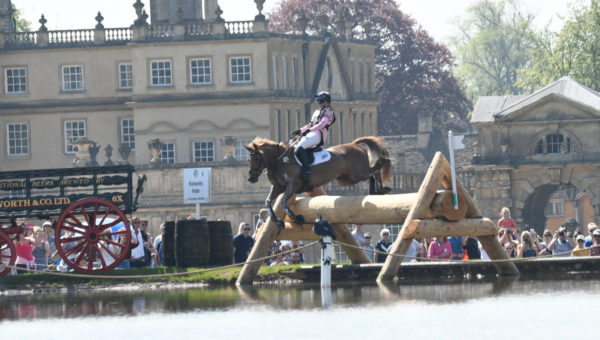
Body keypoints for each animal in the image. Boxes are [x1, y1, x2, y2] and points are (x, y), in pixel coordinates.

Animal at [246, 135, 392, 226]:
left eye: (257, 158)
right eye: (248, 159)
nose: (251, 178)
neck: (280, 161)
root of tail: (354, 144)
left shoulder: (293, 185)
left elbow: (283, 201)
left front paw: (294, 216)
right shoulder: (278, 187)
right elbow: (268, 201)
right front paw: (276, 220)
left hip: (358, 174)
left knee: (377, 168)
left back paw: (382, 188)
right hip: (347, 178)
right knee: (372, 173)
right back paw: (373, 191)